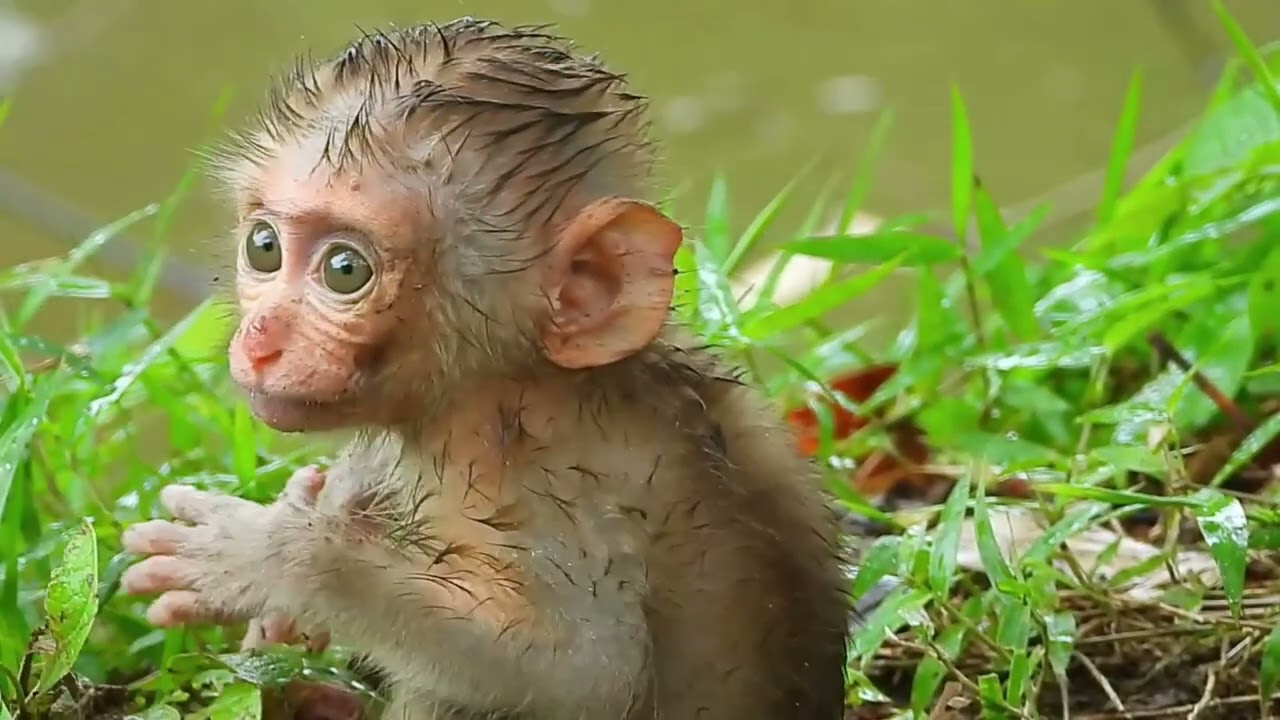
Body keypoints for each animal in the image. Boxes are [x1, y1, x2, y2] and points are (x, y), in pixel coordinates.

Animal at [119, 18, 852, 719]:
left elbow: (591, 677)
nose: (259, 342)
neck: (512, 388)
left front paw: (282, 558)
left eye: (344, 270)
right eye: (264, 248)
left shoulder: (559, 495)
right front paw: (318, 515)